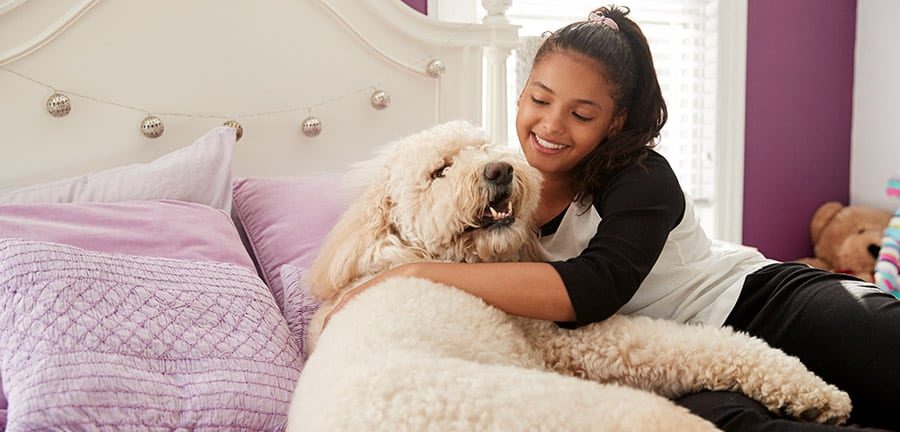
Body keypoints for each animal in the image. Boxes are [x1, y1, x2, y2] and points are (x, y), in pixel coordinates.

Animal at [286, 120, 852, 432]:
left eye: (483, 146)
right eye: (439, 171)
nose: (500, 169)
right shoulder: (575, 344)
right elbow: (699, 345)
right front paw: (816, 391)